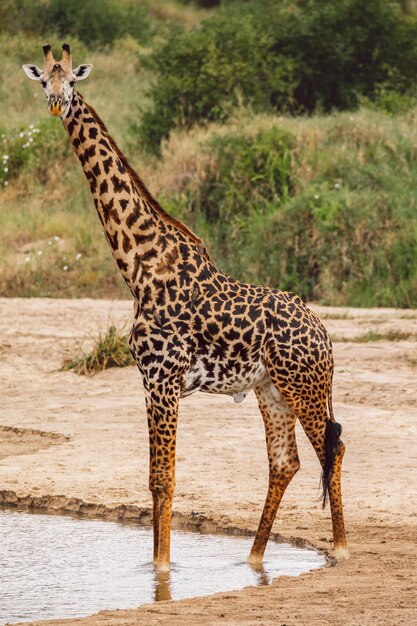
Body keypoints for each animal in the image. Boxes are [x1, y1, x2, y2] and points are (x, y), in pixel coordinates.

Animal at [23, 44, 348, 572]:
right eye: (42, 82)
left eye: (71, 80)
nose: (57, 104)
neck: (139, 267)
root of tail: (325, 335)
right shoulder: (153, 382)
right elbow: (155, 480)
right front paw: (158, 568)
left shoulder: (162, 379)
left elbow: (163, 480)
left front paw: (161, 569)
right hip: (271, 389)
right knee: (286, 461)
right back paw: (253, 558)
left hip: (304, 386)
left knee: (331, 449)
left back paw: (339, 548)